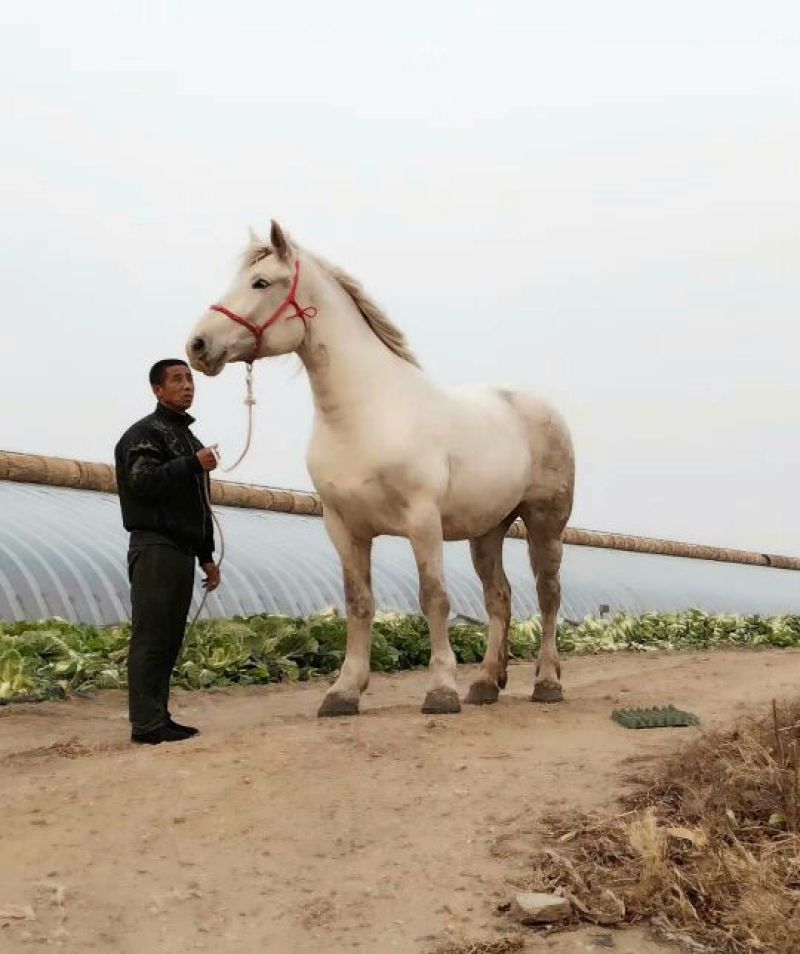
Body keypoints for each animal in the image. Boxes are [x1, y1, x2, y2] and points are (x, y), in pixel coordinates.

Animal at [186, 221, 575, 717]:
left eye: (260, 282)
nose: (198, 346)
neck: (365, 413)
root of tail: (543, 410)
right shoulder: (344, 527)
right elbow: (359, 603)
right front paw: (343, 691)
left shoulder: (422, 522)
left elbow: (434, 598)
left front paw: (441, 689)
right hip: (487, 531)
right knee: (499, 599)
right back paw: (486, 683)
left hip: (545, 523)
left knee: (547, 596)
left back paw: (547, 682)